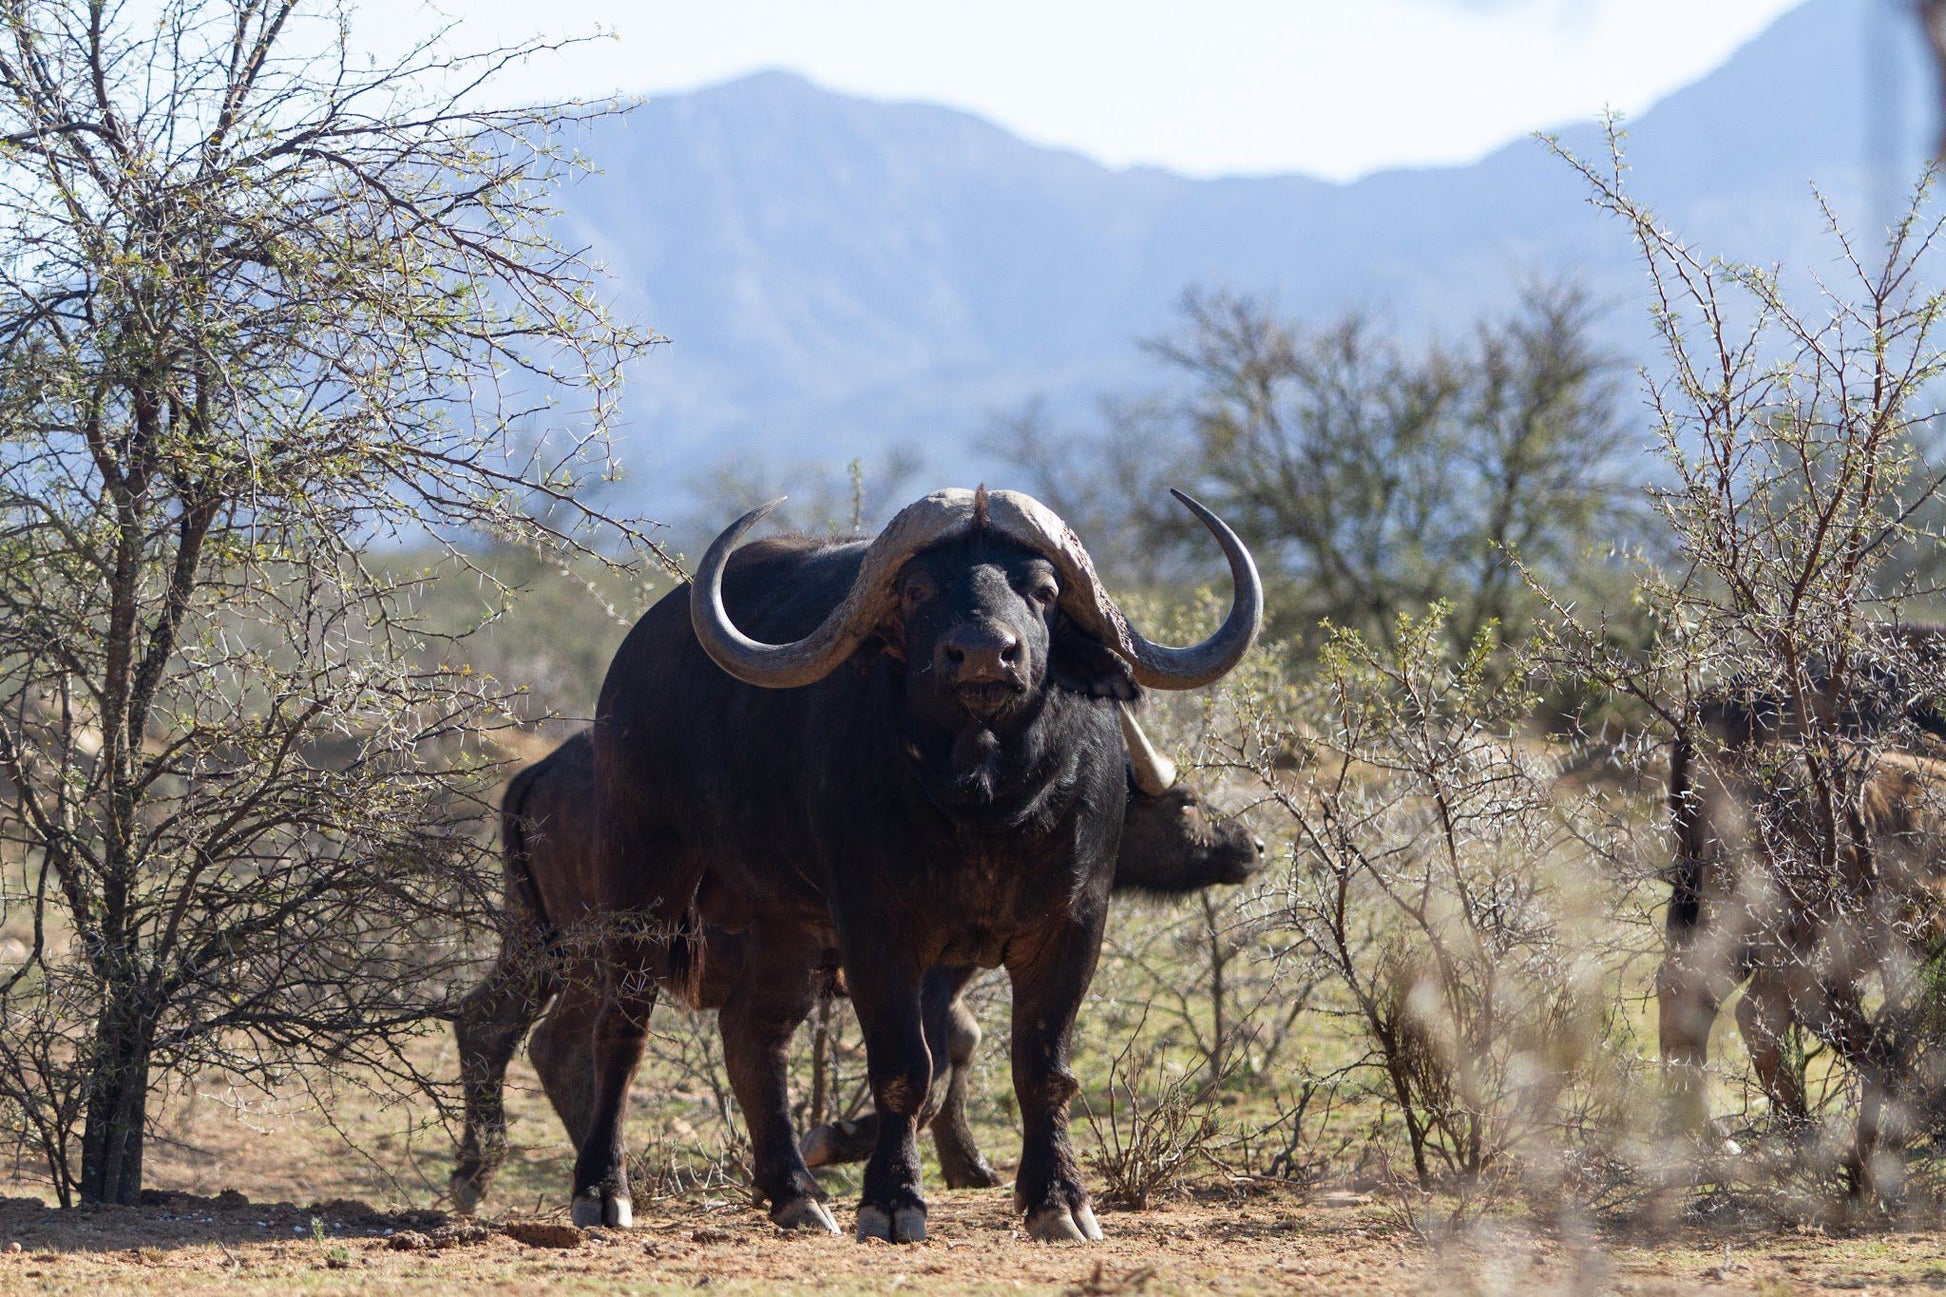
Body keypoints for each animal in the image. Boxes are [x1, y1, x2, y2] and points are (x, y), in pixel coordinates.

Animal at [445, 720, 1261, 1207]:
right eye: (1185, 800)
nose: (1251, 845)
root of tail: (544, 771)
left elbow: (961, 1048)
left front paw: (967, 1164)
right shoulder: (920, 973)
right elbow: (932, 1062)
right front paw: (839, 1141)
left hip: (538, 942)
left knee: (498, 1024)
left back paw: (496, 1172)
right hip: (603, 946)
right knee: (555, 1039)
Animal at [540, 490, 1261, 1238]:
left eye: (1044, 590)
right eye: (919, 590)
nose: (984, 653)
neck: (984, 805)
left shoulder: (1073, 924)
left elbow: (1042, 1067)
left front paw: (1058, 1199)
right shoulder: (877, 932)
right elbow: (907, 1066)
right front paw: (892, 1197)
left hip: (784, 925)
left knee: (751, 1037)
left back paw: (797, 1194)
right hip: (639, 878)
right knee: (621, 1028)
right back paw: (602, 1190)